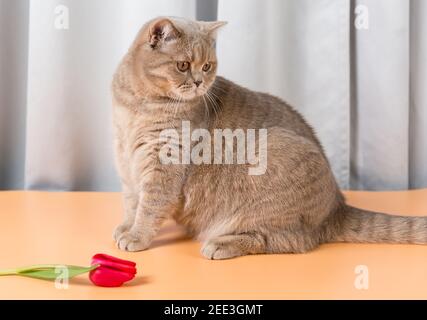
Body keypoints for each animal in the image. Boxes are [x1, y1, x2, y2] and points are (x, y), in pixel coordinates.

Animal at [112, 16, 427, 260]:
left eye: (207, 66)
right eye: (182, 65)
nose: (200, 82)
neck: (138, 105)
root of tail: (337, 206)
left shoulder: (164, 164)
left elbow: (150, 204)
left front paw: (137, 235)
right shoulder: (126, 158)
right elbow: (132, 200)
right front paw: (126, 226)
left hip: (273, 165)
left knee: (288, 241)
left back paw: (221, 244)